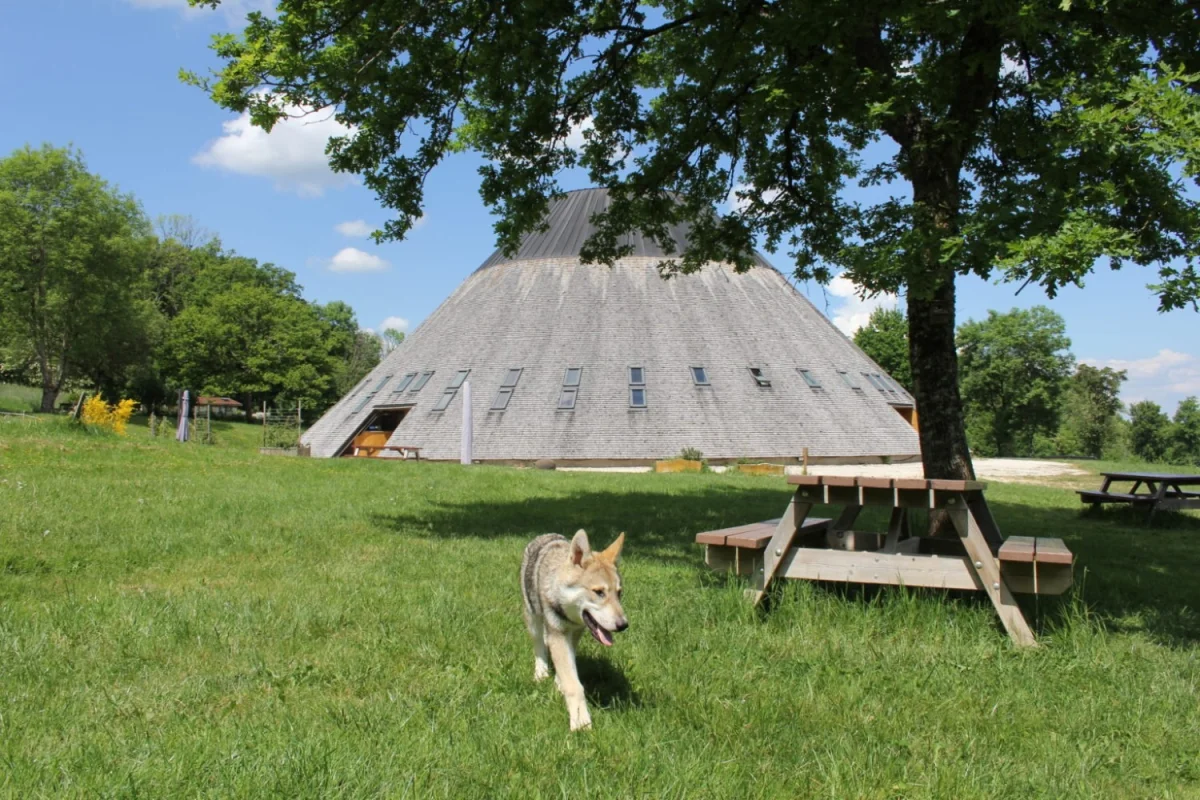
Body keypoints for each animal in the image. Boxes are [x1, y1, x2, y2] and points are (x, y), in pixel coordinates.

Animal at [520, 529, 628, 731]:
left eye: (619, 593)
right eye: (599, 592)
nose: (624, 625)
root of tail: (545, 535)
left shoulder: (575, 633)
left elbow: (568, 669)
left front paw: (559, 684)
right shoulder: (558, 634)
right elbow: (574, 685)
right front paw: (581, 722)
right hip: (533, 618)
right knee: (539, 645)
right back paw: (541, 672)